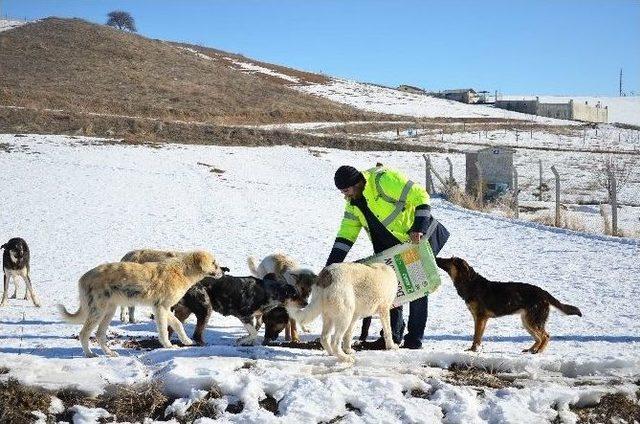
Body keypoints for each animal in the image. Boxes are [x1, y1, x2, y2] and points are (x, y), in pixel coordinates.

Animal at [57, 250, 226, 356]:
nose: (222, 272)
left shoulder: (163, 308)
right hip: (98, 311)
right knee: (84, 334)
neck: (182, 271)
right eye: (214, 263)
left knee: (99, 335)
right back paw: (90, 354)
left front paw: (186, 341)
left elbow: (178, 324)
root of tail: (83, 278)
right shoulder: (161, 308)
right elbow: (164, 330)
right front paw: (168, 346)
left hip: (109, 311)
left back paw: (110, 353)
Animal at [170, 274, 308, 346]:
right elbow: (254, 333)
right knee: (196, 336)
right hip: (205, 309)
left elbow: (253, 333)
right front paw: (240, 340)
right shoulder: (244, 315)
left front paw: (246, 341)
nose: (306, 303)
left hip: (183, 313)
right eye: (295, 295)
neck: (269, 293)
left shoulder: (251, 318)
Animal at [438, 256, 584, 352]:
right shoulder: (480, 319)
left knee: (546, 336)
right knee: (539, 338)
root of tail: (544, 293)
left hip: (532, 321)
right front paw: (476, 348)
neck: (469, 282)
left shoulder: (480, 318)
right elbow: (478, 336)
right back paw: (530, 350)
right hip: (526, 321)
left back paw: (538, 351)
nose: (437, 257)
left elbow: (476, 336)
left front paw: (473, 349)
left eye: (450, 260)